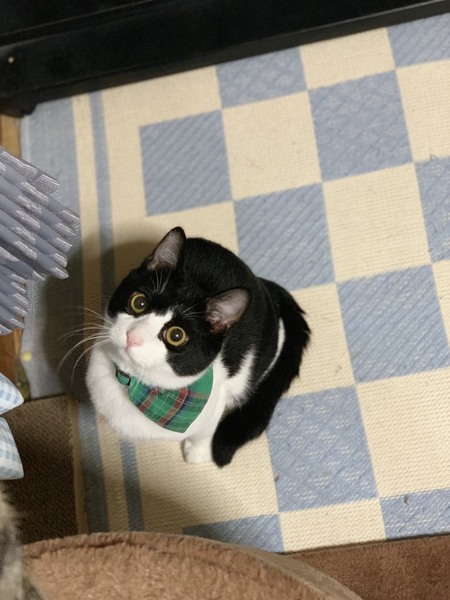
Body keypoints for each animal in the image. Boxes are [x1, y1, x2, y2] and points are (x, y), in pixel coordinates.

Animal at [87, 227, 310, 467]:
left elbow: (205, 431)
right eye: (139, 302)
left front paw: (197, 451)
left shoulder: (214, 400)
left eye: (176, 335)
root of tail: (261, 283)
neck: (134, 384)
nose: (133, 336)